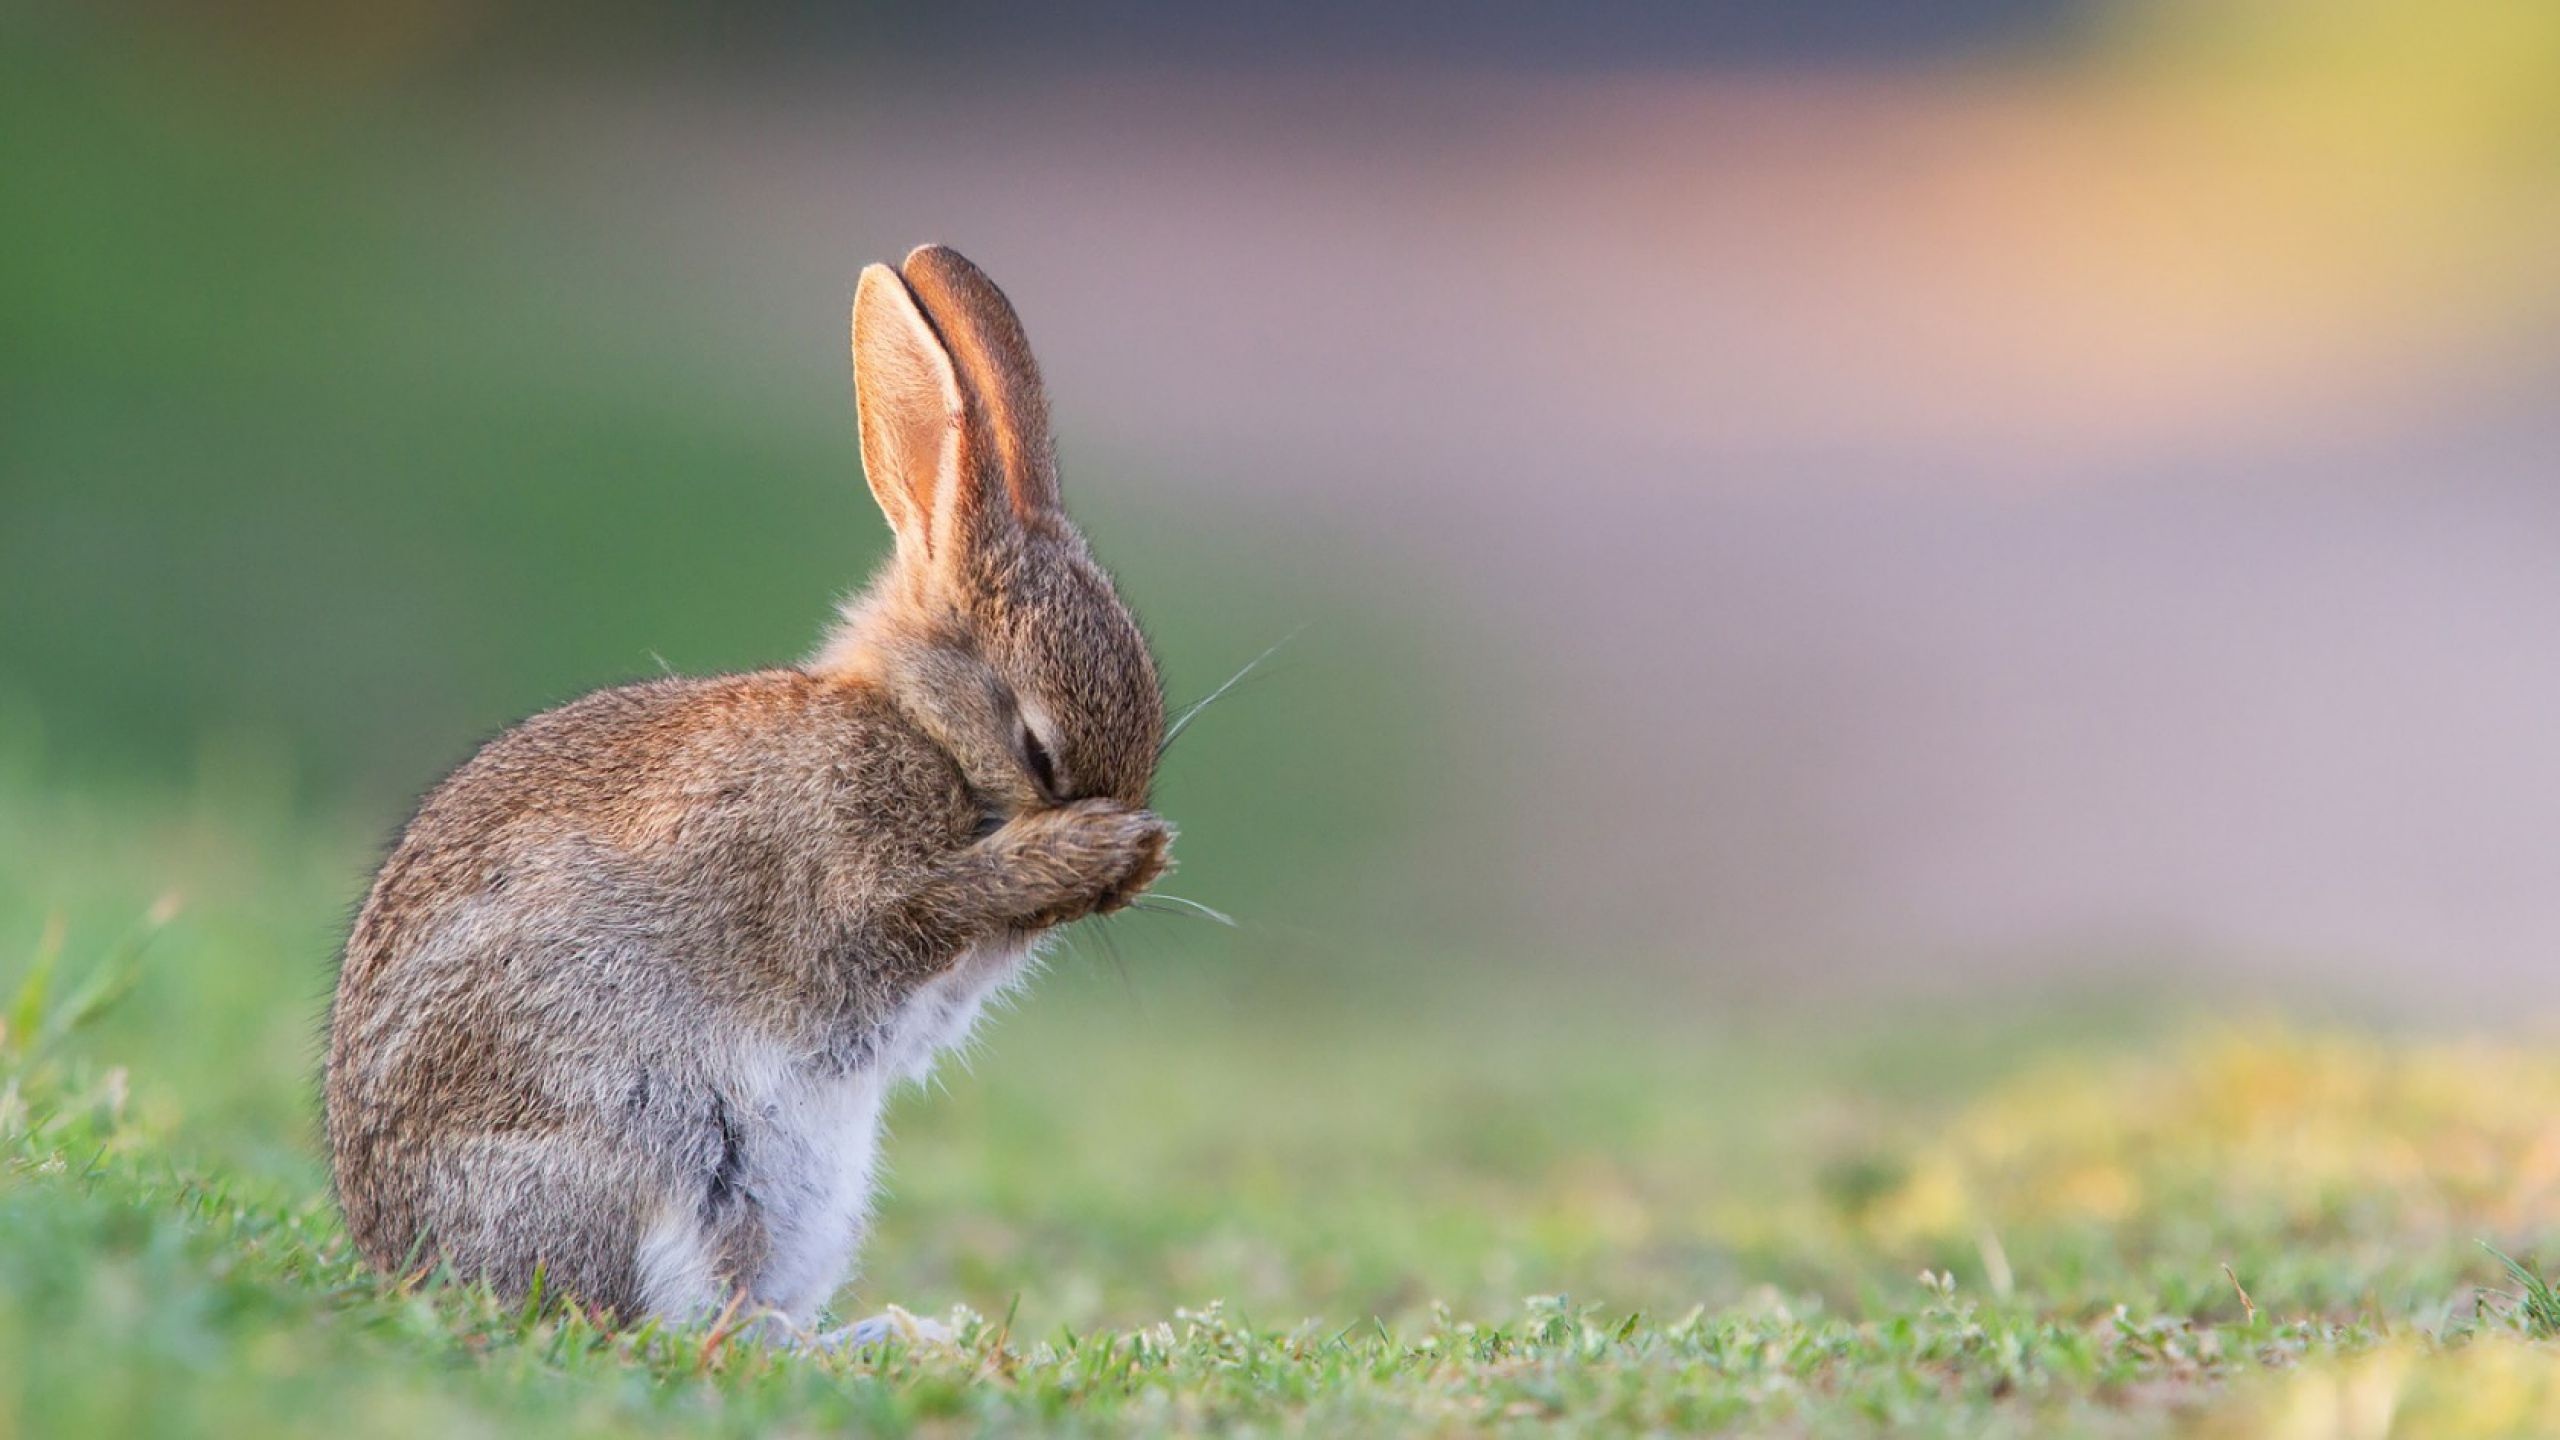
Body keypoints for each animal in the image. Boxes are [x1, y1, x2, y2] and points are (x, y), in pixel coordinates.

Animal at [320, 240, 1172, 1332]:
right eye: (1037, 750)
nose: (1124, 873)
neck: (919, 728)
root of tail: (406, 1262)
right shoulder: (845, 888)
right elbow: (917, 914)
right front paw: (1092, 851)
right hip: (648, 1149)